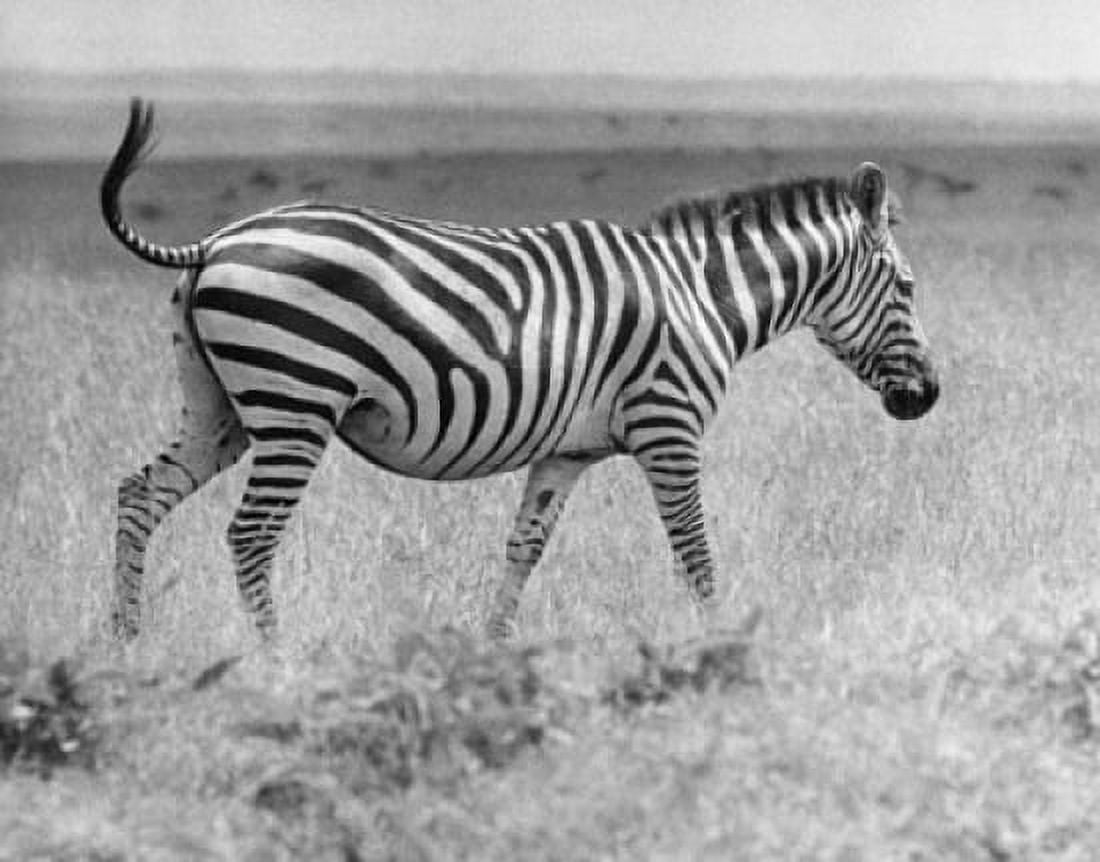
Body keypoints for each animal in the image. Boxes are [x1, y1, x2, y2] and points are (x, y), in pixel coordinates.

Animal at [102, 98, 938, 642]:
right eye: (906, 287)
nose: (928, 397)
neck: (696, 293)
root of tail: (217, 240)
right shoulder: (668, 429)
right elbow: (694, 550)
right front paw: (722, 644)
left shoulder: (564, 454)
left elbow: (524, 549)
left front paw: (492, 648)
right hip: (294, 403)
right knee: (250, 534)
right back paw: (276, 659)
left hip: (221, 408)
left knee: (140, 493)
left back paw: (125, 640)